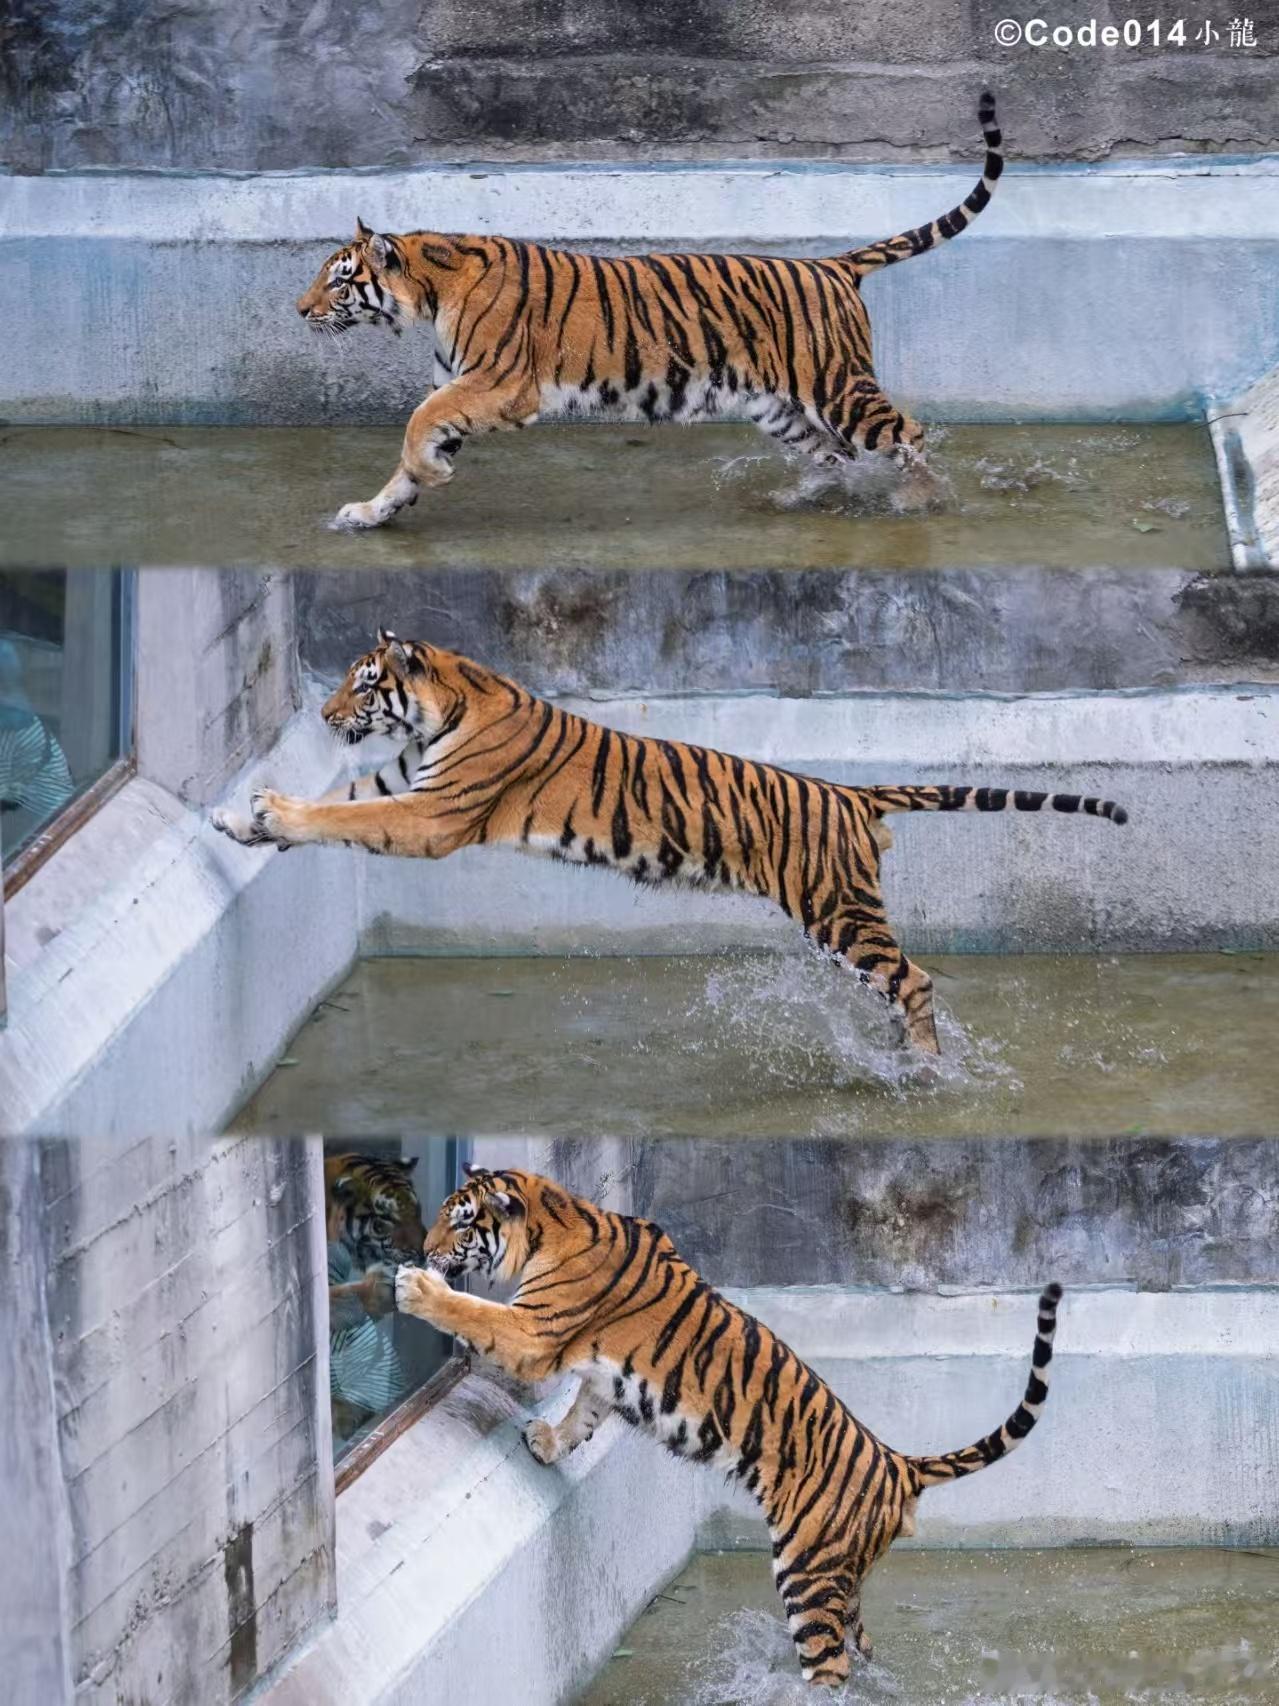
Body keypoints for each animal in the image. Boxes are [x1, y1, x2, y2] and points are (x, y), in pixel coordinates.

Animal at [211, 631, 1127, 1057]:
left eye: (363, 684)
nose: (325, 715)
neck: (441, 711)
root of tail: (849, 791)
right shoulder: (401, 783)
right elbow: (339, 800)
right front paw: (240, 821)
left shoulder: (431, 815)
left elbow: (339, 819)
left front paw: (269, 813)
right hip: (839, 926)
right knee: (898, 982)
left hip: (838, 913)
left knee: (918, 978)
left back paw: (926, 1067)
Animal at [295, 93, 1006, 532]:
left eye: (339, 280)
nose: (300, 310)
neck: (431, 292)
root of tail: (833, 264)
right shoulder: (463, 385)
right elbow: (413, 445)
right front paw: (372, 511)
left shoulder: (499, 383)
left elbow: (416, 426)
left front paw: (431, 474)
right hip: (776, 406)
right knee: (833, 456)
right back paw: (801, 495)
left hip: (837, 385)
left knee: (906, 436)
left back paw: (918, 499)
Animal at [395, 1165, 1062, 1688]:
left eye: (461, 1223)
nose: (424, 1251)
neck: (553, 1220)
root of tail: (898, 1463)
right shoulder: (598, 1375)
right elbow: (583, 1414)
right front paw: (546, 1442)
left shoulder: (534, 1331)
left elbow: (473, 1312)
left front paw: (416, 1289)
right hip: (847, 1583)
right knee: (864, 1650)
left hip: (809, 1570)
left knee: (829, 1667)